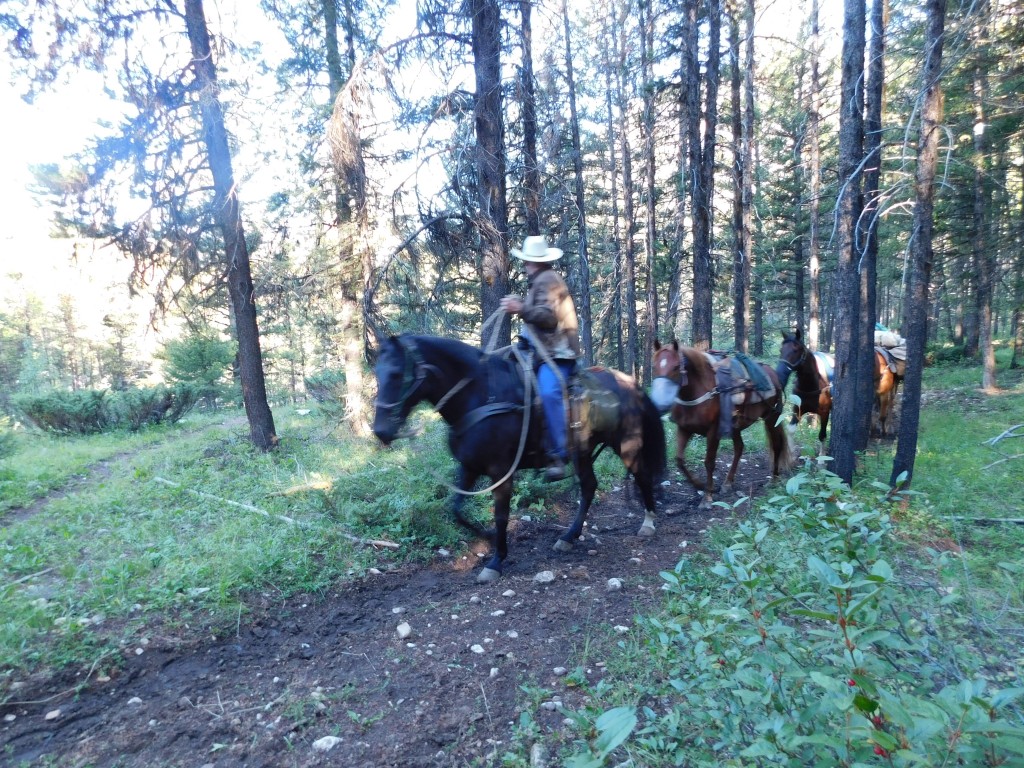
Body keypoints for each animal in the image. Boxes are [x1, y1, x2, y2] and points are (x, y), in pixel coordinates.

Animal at [372, 335, 667, 581]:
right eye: (377, 373)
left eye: (397, 373)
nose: (381, 431)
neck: (479, 395)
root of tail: (630, 383)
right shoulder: (469, 467)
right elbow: (456, 510)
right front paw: (489, 538)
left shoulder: (501, 472)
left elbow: (501, 514)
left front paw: (496, 561)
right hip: (583, 453)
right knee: (589, 487)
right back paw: (569, 537)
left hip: (626, 444)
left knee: (641, 475)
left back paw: (648, 522)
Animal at [651, 339, 794, 507]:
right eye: (654, 366)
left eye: (675, 366)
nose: (659, 405)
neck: (697, 392)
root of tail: (772, 373)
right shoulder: (684, 429)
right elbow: (679, 460)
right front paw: (699, 485)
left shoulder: (713, 432)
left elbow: (709, 462)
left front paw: (707, 496)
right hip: (736, 426)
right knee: (739, 448)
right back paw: (728, 482)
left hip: (771, 417)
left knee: (776, 444)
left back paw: (774, 479)